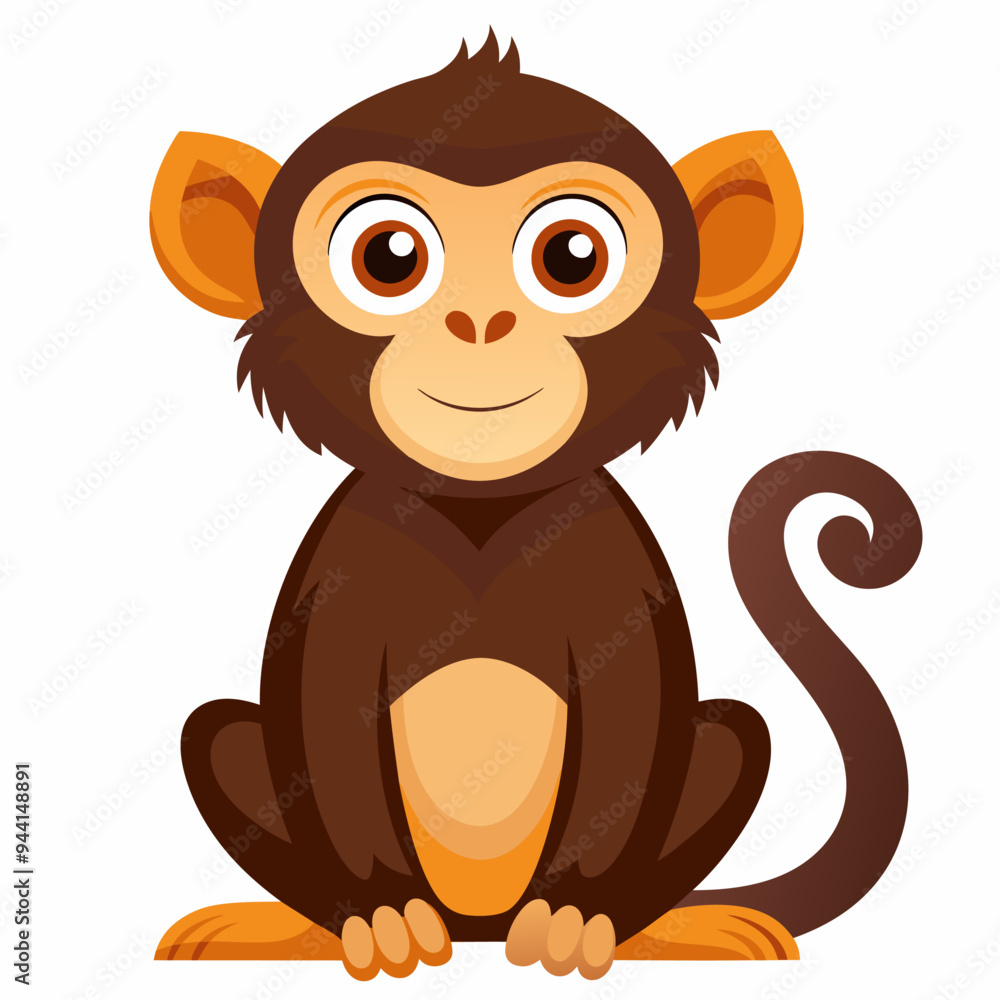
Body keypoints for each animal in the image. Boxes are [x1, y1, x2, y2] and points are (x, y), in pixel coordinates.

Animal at [150, 30, 921, 980]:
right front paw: (380, 913)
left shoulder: (613, 565)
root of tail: (478, 924)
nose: (480, 322)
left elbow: (632, 724)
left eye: (571, 258)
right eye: (390, 257)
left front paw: (575, 915)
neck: (481, 512)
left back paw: (663, 925)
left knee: (731, 736)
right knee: (220, 733)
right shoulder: (341, 569)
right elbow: (325, 726)